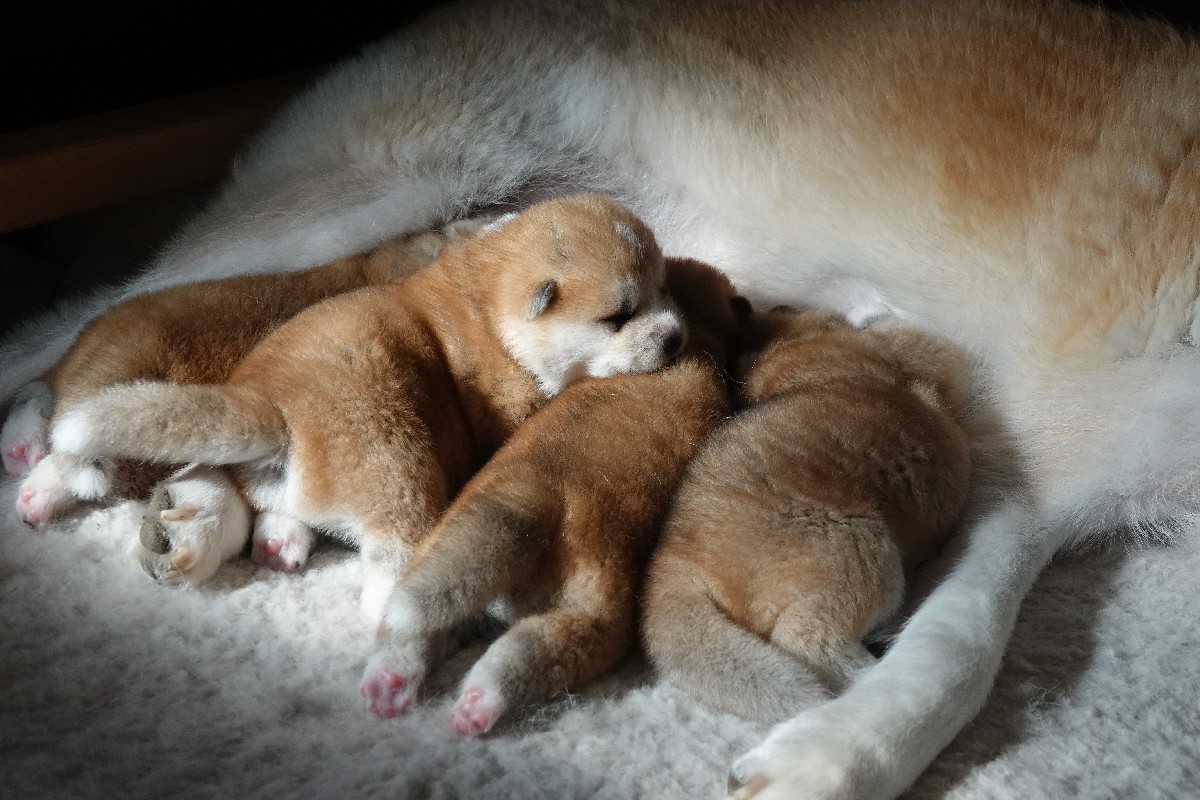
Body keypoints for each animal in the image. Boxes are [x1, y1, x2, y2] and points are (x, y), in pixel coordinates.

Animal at [360, 257, 746, 731]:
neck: (701, 329)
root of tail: (546, 511)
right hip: (590, 606)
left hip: (486, 550)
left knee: (436, 634)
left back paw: (416, 690)